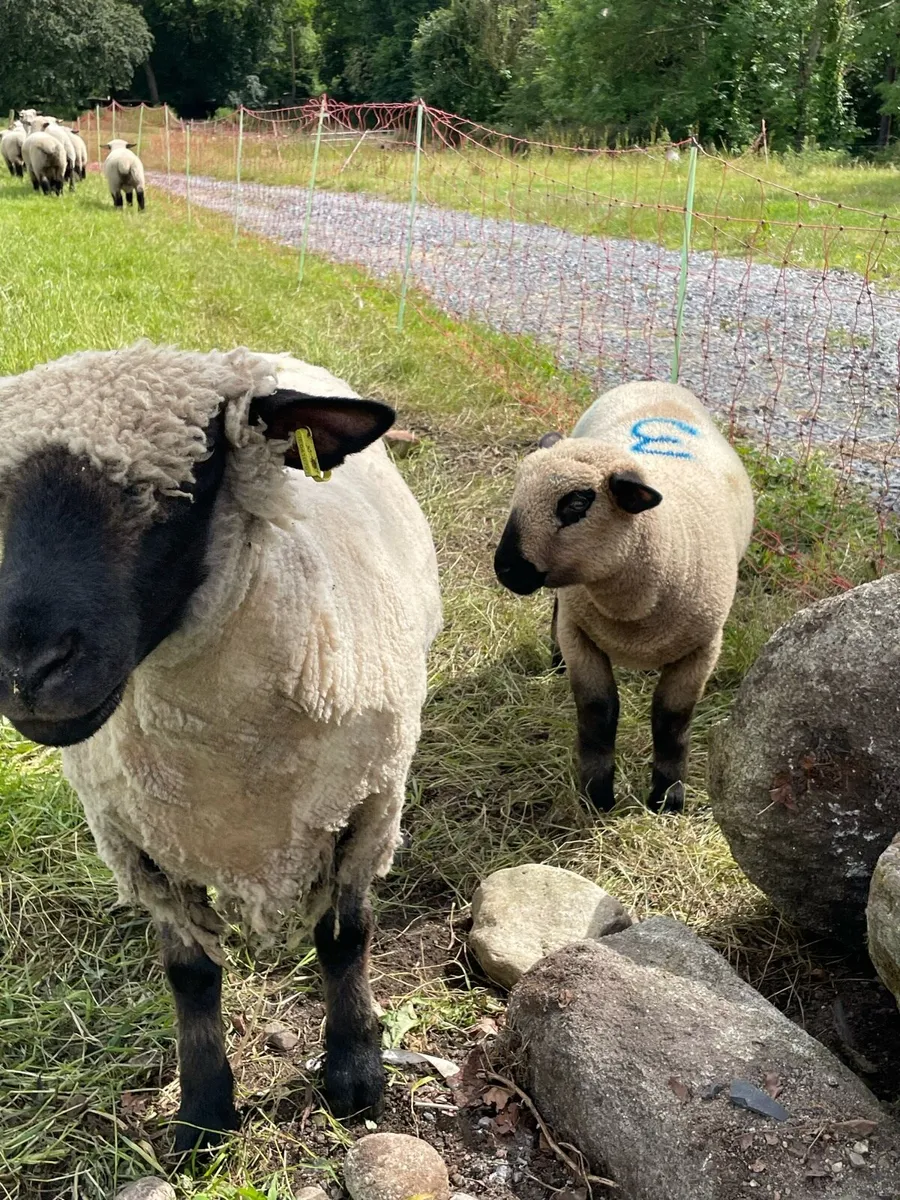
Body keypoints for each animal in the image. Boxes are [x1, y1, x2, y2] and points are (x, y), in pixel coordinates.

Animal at [0, 343, 442, 1155]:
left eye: (188, 486)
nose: (26, 669)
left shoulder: (366, 805)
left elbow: (346, 936)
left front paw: (354, 1071)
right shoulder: (142, 839)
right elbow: (192, 975)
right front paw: (203, 1111)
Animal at [494, 380, 754, 814]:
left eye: (577, 502)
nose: (507, 569)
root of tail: (654, 381)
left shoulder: (702, 649)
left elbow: (672, 722)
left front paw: (668, 798)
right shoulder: (581, 634)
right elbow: (598, 713)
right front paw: (597, 795)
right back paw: (555, 661)